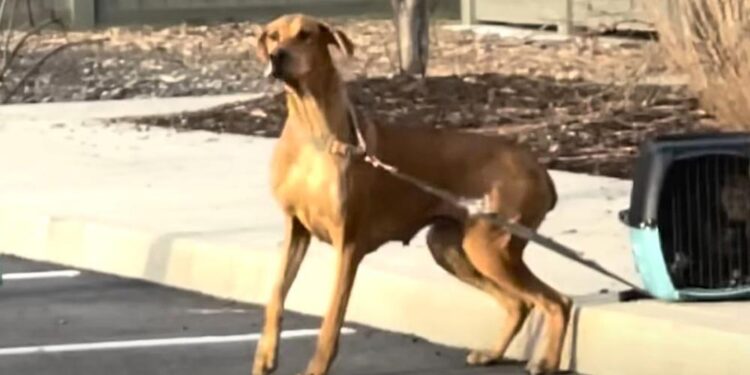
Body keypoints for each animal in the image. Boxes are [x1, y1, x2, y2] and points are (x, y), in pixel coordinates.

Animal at [251, 13, 568, 374]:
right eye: (273, 36)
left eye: (305, 35)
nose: (277, 56)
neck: (313, 132)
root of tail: (539, 168)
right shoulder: (296, 229)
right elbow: (276, 297)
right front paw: (265, 356)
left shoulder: (348, 243)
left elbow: (331, 321)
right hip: (450, 246)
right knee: (519, 303)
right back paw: (492, 354)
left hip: (490, 246)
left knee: (557, 301)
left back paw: (546, 362)